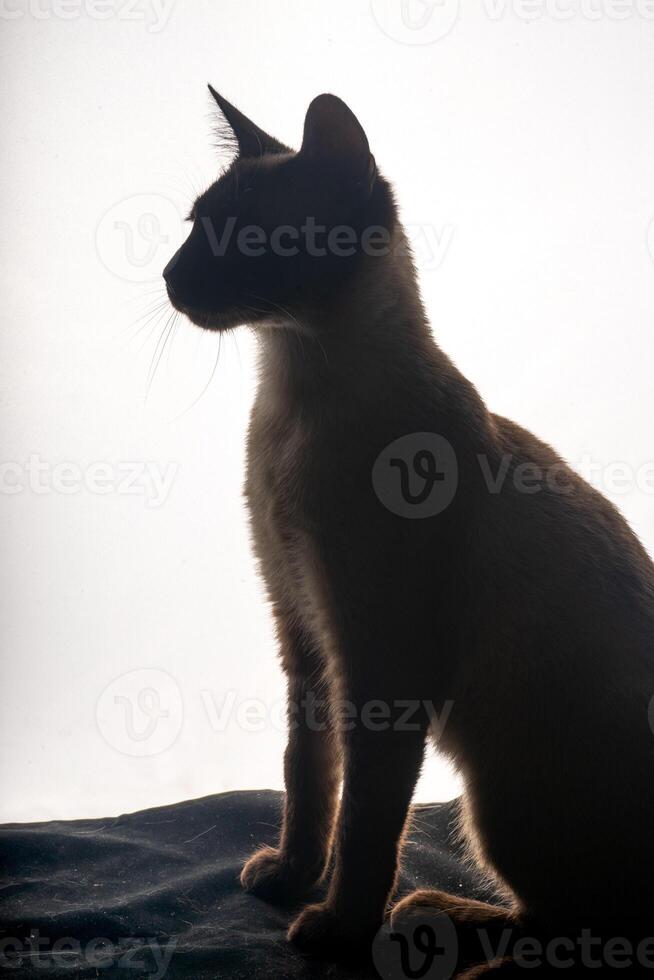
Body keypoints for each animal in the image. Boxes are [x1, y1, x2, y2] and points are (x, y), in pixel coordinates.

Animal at [164, 90, 654, 972]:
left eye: (243, 237)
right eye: (194, 228)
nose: (169, 277)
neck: (292, 398)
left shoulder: (379, 665)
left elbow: (365, 824)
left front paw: (335, 927)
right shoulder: (304, 634)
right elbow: (307, 779)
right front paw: (289, 877)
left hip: (497, 795)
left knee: (587, 927)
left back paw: (436, 924)